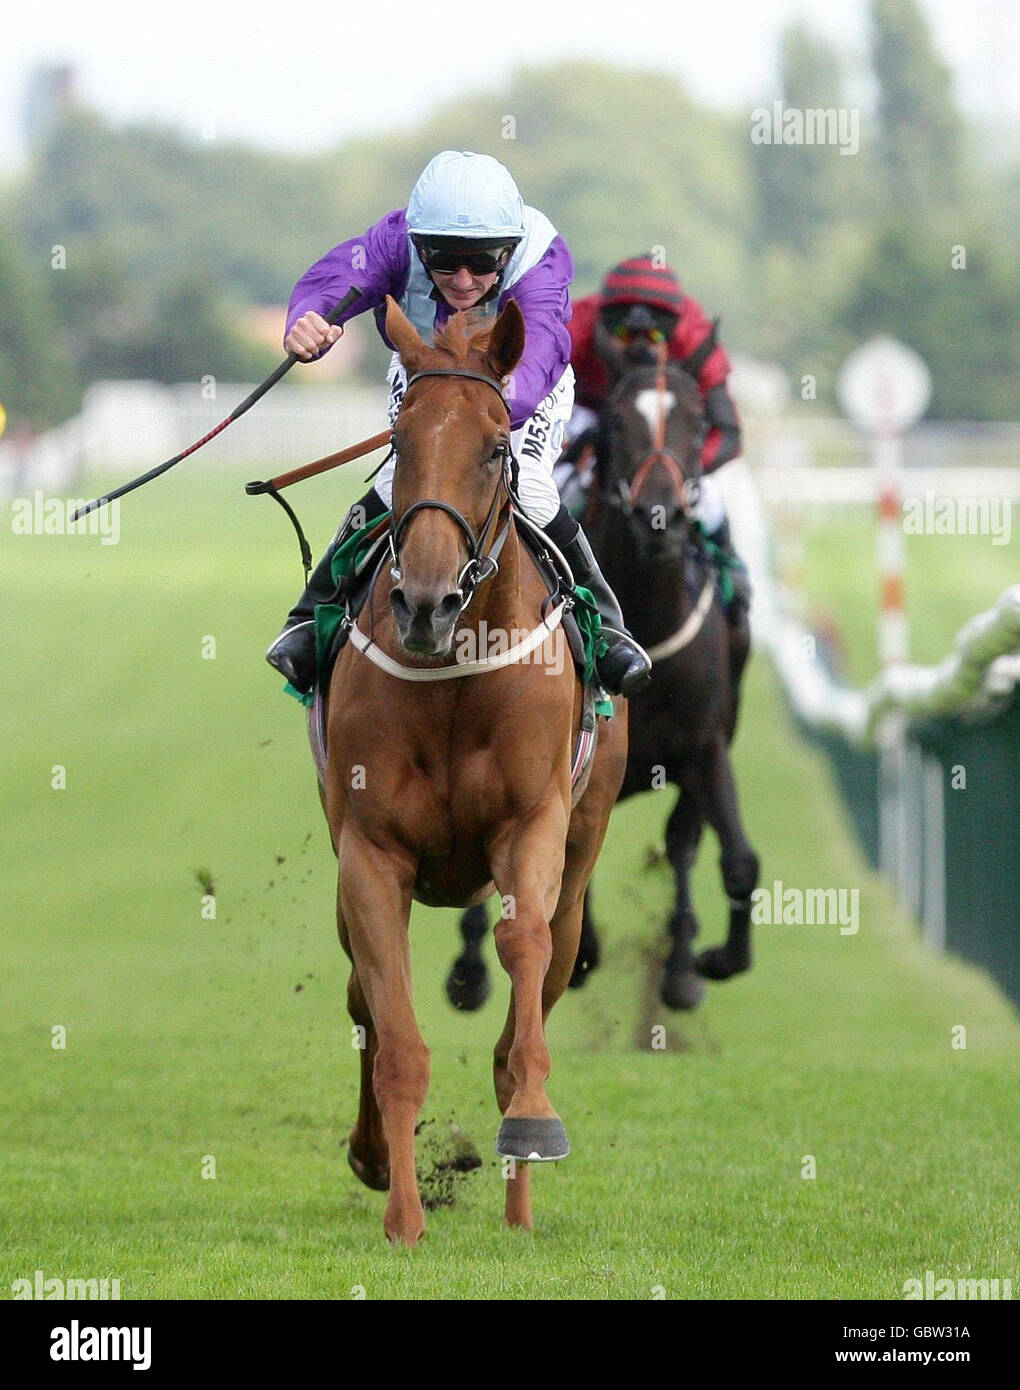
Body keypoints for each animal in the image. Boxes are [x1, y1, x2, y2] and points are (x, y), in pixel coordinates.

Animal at [319, 296, 628, 1251]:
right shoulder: (369, 851)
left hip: (582, 865)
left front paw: (531, 1131)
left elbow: (520, 965)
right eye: (398, 436)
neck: (456, 668)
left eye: (497, 446)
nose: (424, 600)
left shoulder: (534, 826)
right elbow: (394, 1036)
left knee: (539, 975)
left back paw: (519, 1202)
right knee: (360, 998)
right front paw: (403, 1216)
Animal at [447, 355, 761, 1011]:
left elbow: (734, 857)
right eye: (618, 423)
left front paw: (711, 960)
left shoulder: (705, 746)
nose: (659, 517)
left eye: (698, 422)